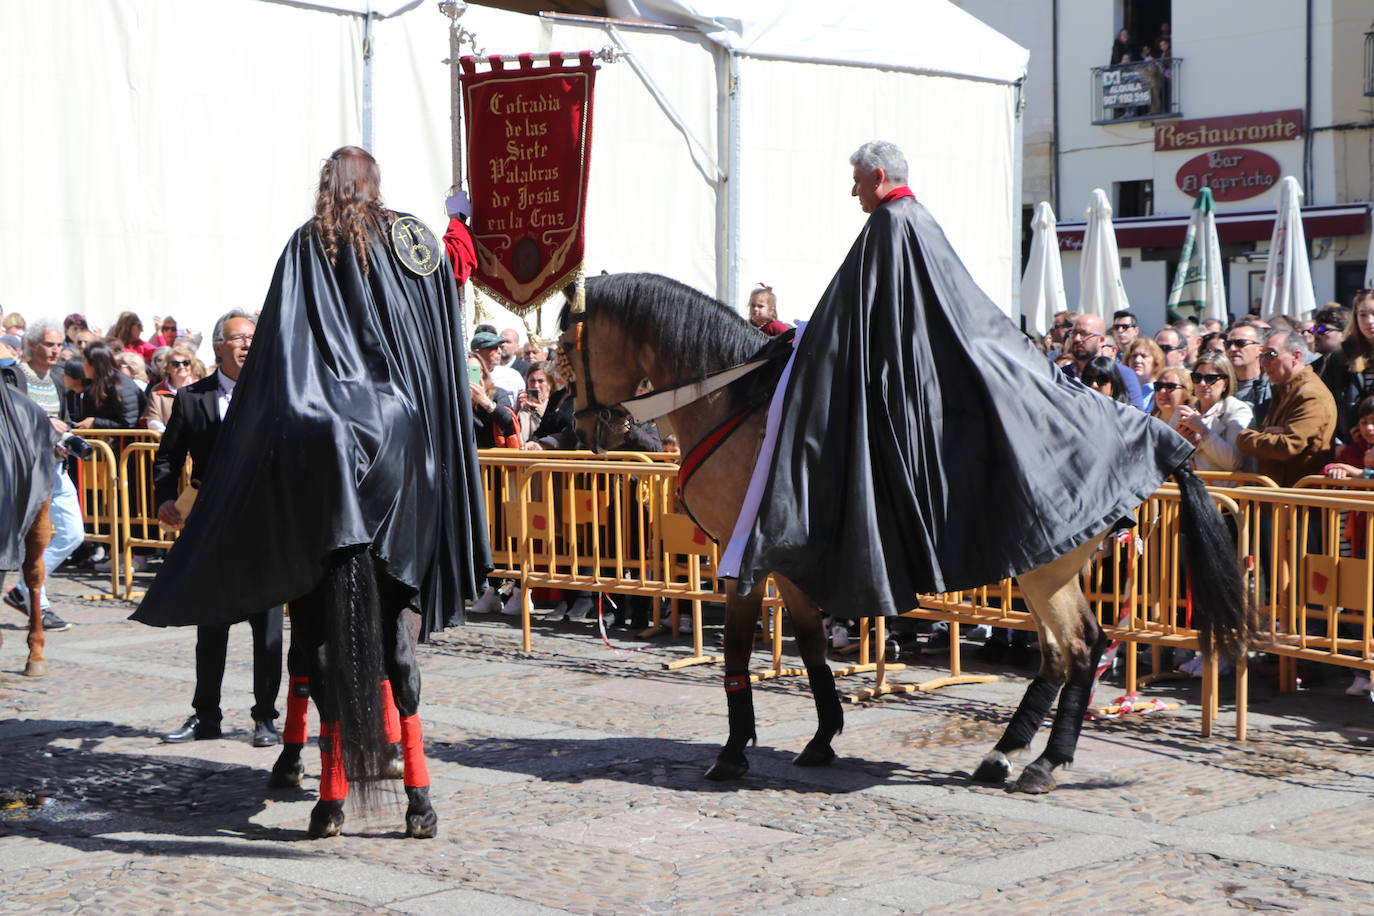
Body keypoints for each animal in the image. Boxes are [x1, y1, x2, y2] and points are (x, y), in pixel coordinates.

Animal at [555, 271, 1247, 796]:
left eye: (564, 343)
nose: (593, 427)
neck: (735, 402)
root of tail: (1156, 439)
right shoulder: (788, 561)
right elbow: (810, 644)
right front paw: (822, 736)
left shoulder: (743, 555)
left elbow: (737, 653)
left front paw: (731, 751)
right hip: (1049, 567)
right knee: (1062, 653)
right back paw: (1006, 753)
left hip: (1045, 570)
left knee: (1078, 648)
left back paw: (1045, 763)